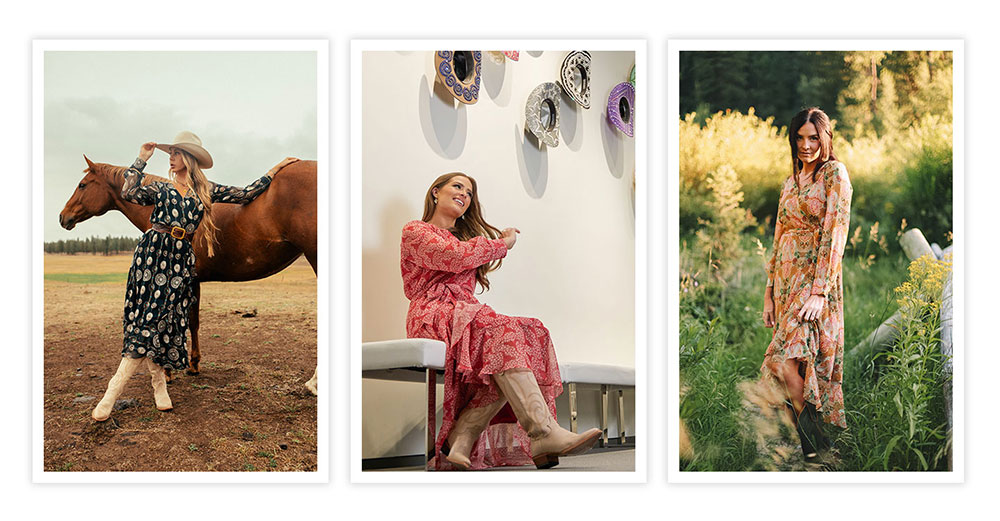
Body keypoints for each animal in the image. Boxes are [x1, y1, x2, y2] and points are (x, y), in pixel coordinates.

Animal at [56, 156, 320, 392]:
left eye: (82, 185)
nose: (62, 217)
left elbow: (173, 321)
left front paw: (169, 371)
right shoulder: (194, 281)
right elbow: (193, 322)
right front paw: (193, 365)